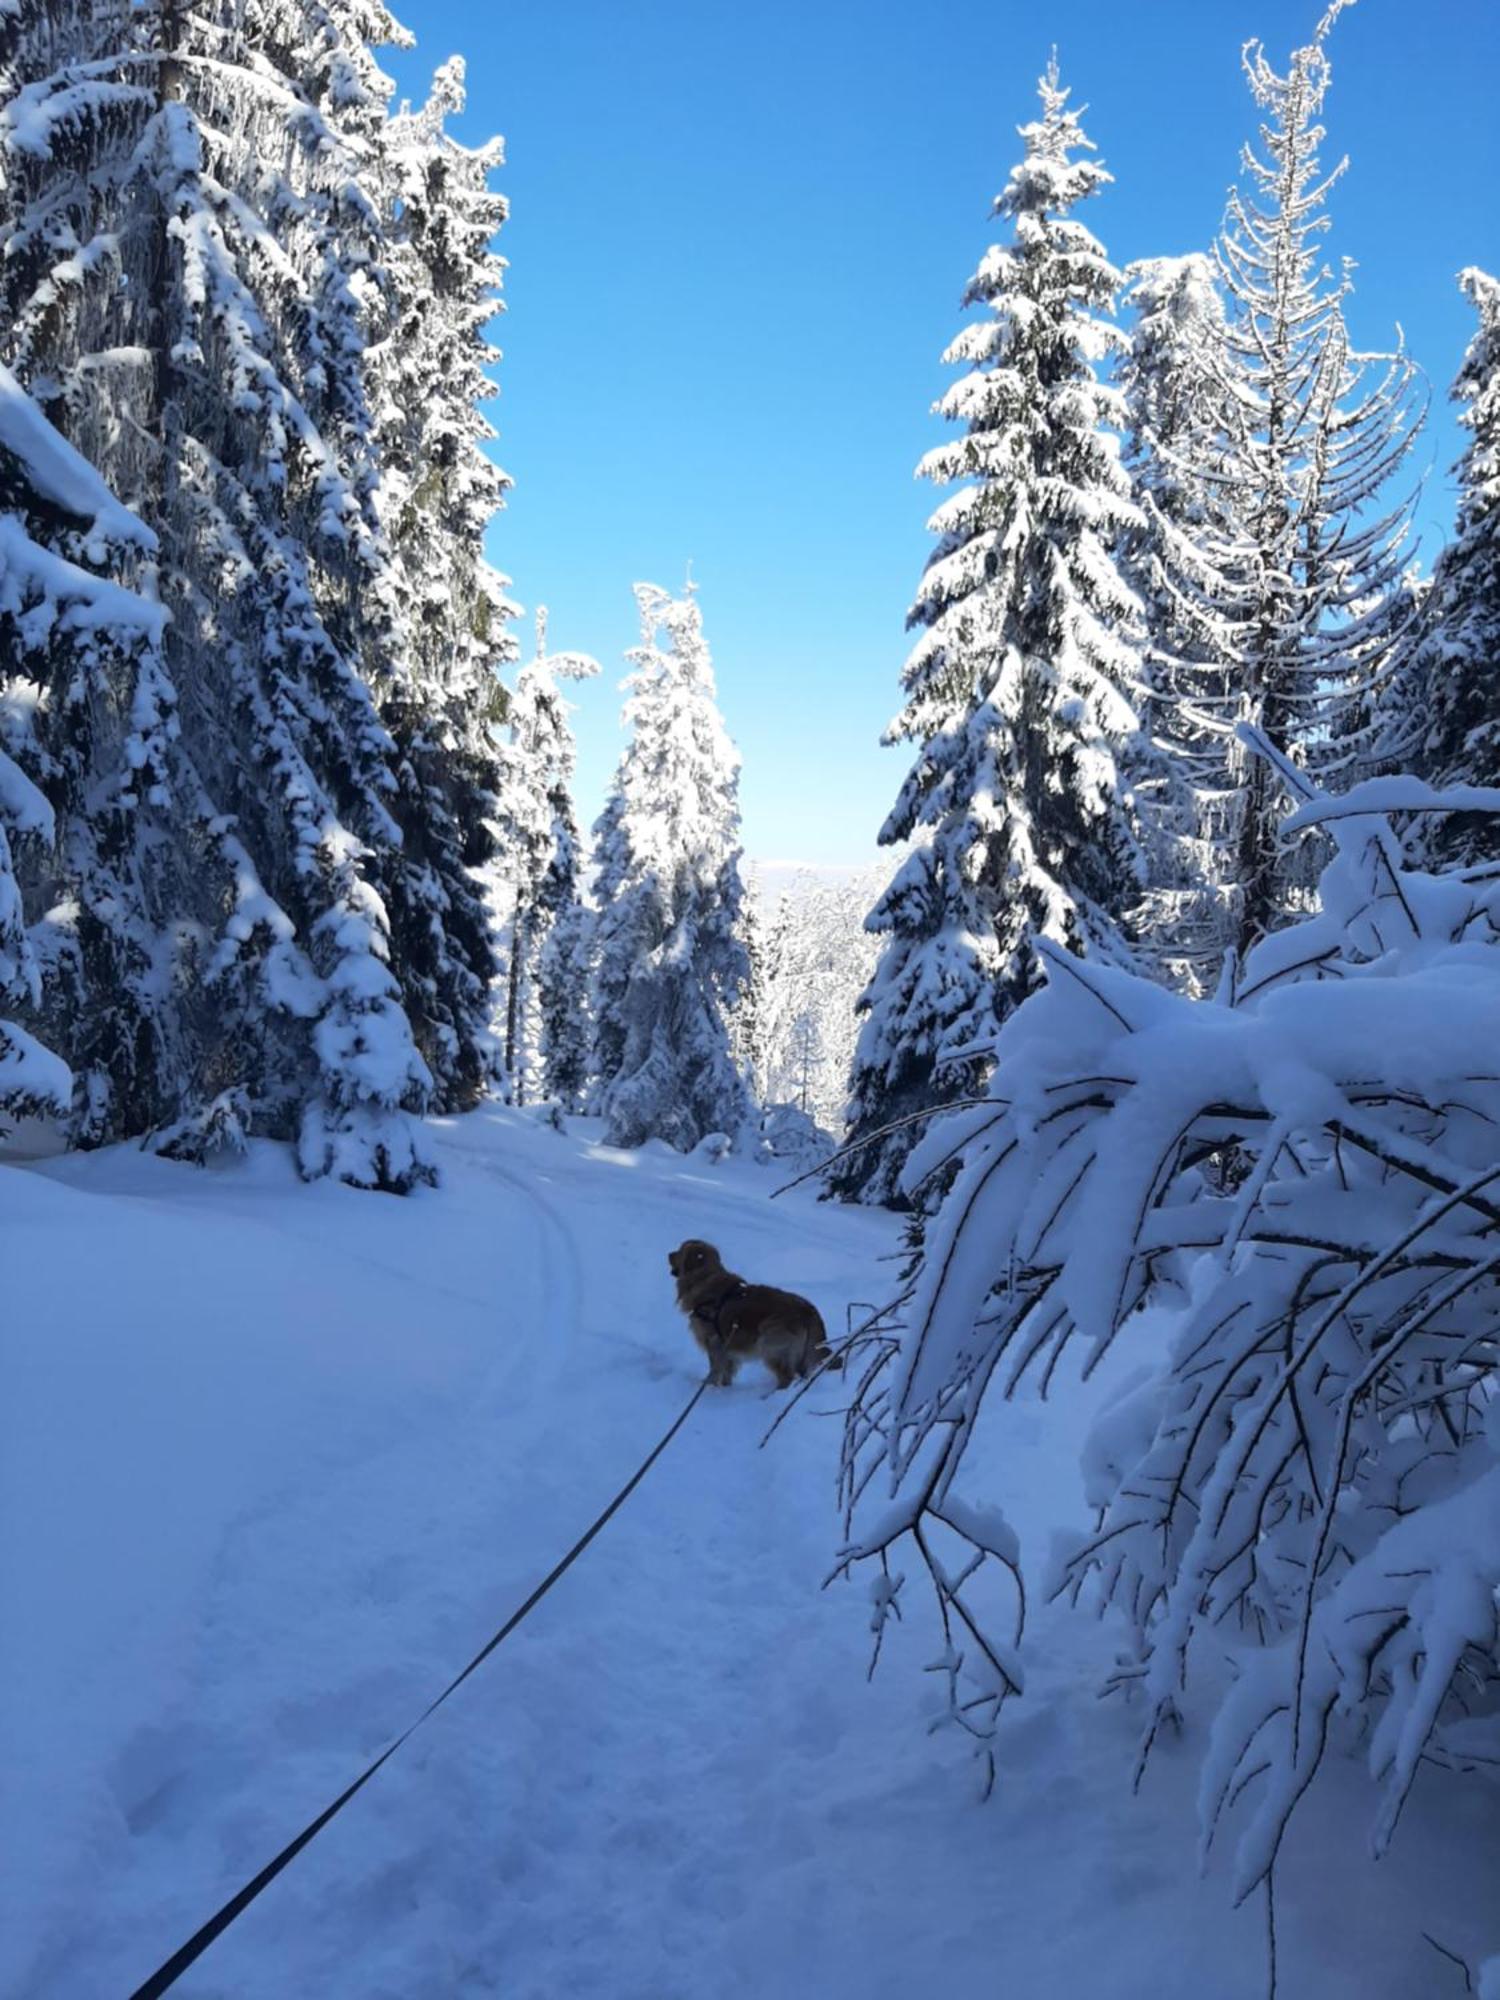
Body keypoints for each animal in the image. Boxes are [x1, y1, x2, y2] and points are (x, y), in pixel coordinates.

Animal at [668, 1232, 836, 1392]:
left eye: (680, 1250)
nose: (669, 1254)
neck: (705, 1277)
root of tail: (808, 1310)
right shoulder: (728, 1349)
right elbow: (727, 1371)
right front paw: (725, 1389)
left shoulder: (714, 1342)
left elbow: (715, 1369)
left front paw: (708, 1387)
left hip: (771, 1346)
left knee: (786, 1377)